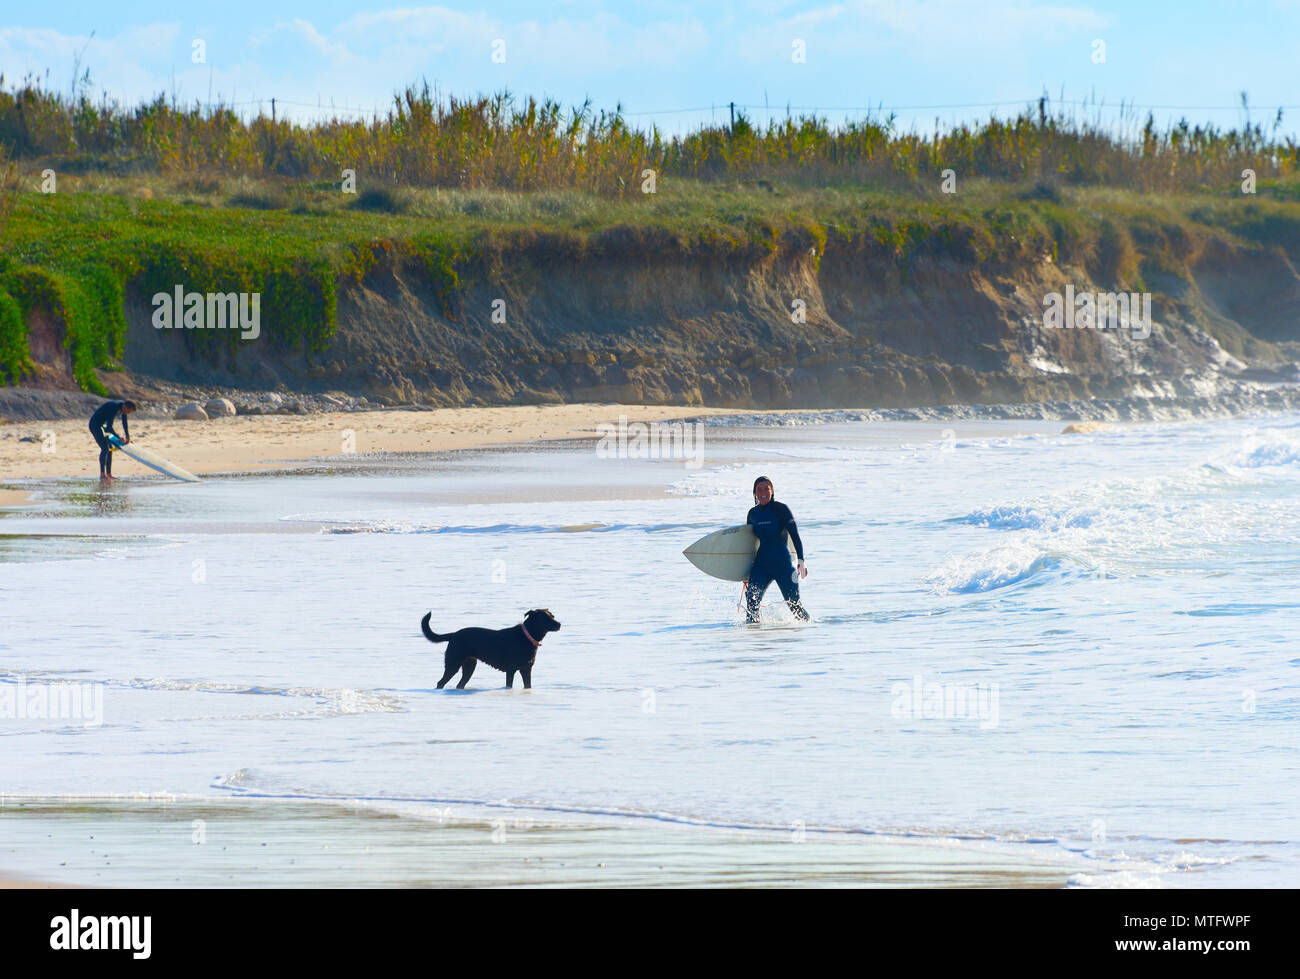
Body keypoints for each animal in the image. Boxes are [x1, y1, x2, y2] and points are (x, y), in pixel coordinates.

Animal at [418, 603, 556, 686]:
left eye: (553, 616)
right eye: (545, 618)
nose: (559, 624)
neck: (526, 637)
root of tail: (454, 634)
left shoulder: (526, 669)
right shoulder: (511, 670)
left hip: (469, 665)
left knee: (459, 684)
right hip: (453, 663)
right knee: (440, 682)